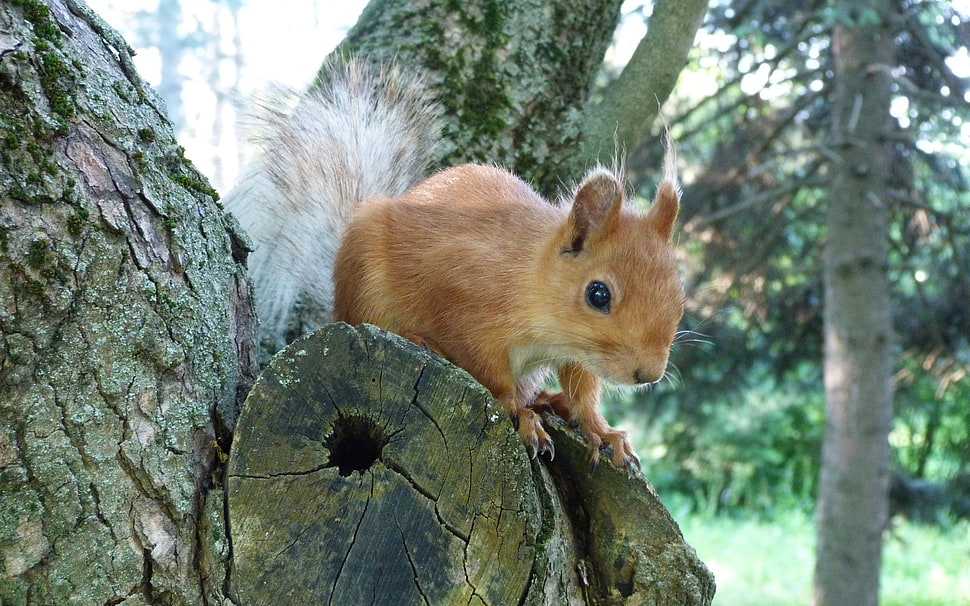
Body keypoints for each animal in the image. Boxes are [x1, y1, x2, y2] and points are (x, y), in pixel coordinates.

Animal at [226, 58, 685, 470]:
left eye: (680, 295)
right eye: (598, 294)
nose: (648, 374)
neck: (532, 284)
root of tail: (336, 304)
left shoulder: (577, 352)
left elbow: (582, 390)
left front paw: (601, 430)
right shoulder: (463, 308)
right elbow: (490, 374)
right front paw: (519, 414)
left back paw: (546, 399)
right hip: (366, 291)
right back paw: (421, 342)